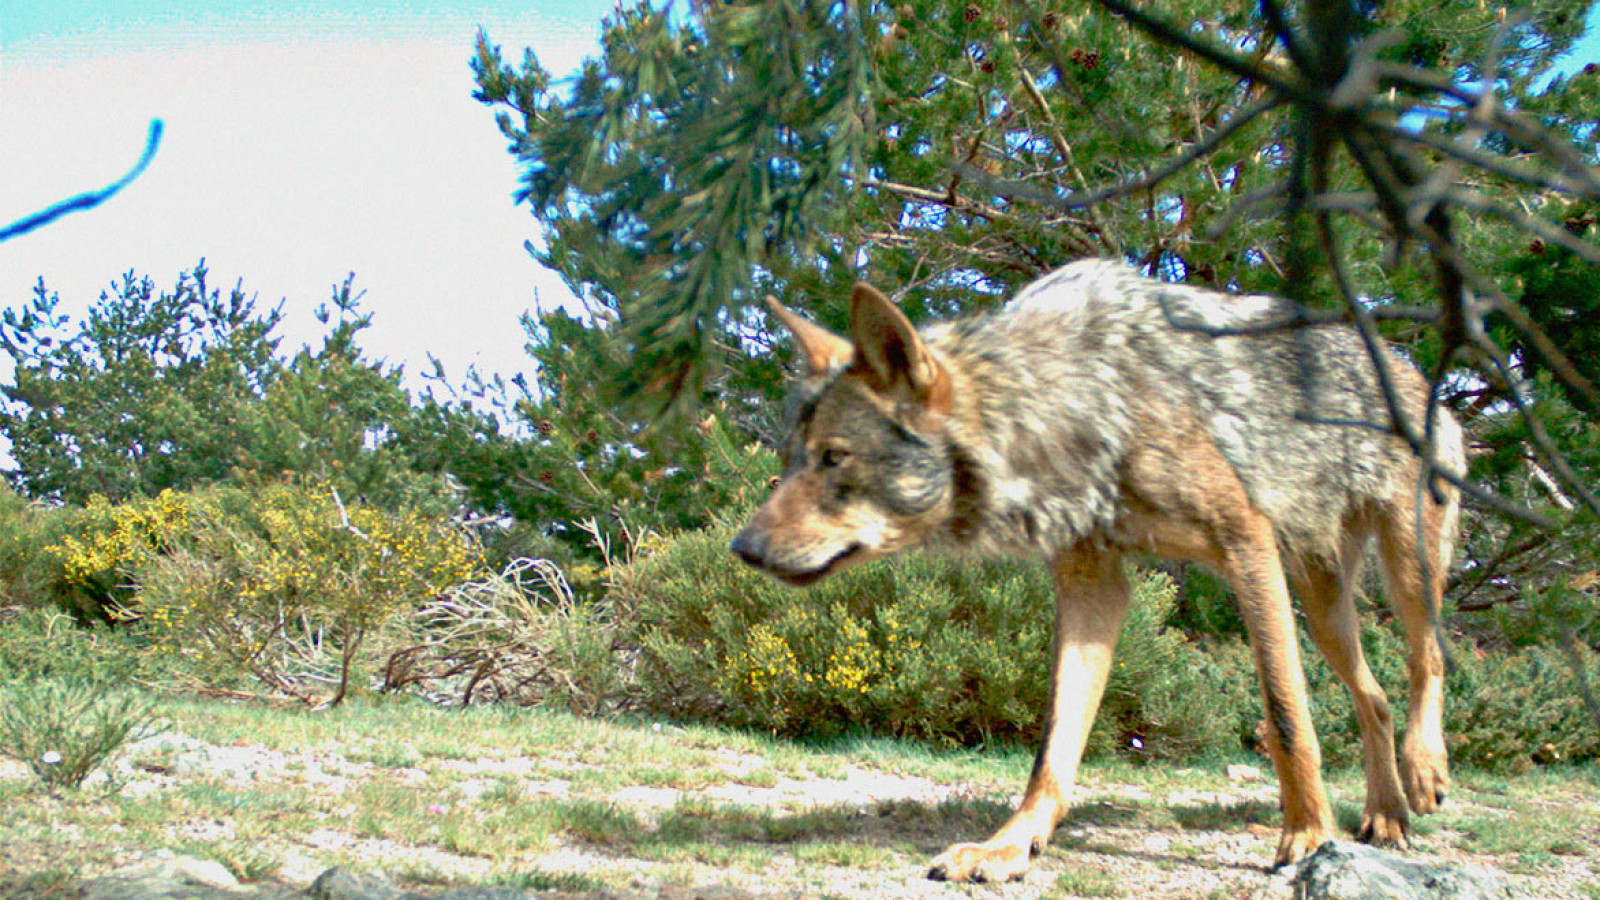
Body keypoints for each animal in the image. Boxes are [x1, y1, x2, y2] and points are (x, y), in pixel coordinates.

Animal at [732, 256, 1465, 877]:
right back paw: (1386, 817)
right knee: (1372, 698)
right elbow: (1053, 746)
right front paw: (1009, 846)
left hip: (1401, 570)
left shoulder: (1245, 548)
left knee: (1426, 660)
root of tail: (1415, 374)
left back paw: (1424, 772)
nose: (742, 549)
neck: (1074, 402)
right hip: (1320, 604)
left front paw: (1308, 835)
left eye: (834, 458)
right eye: (792, 458)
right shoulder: (1092, 583)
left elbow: (1288, 717)